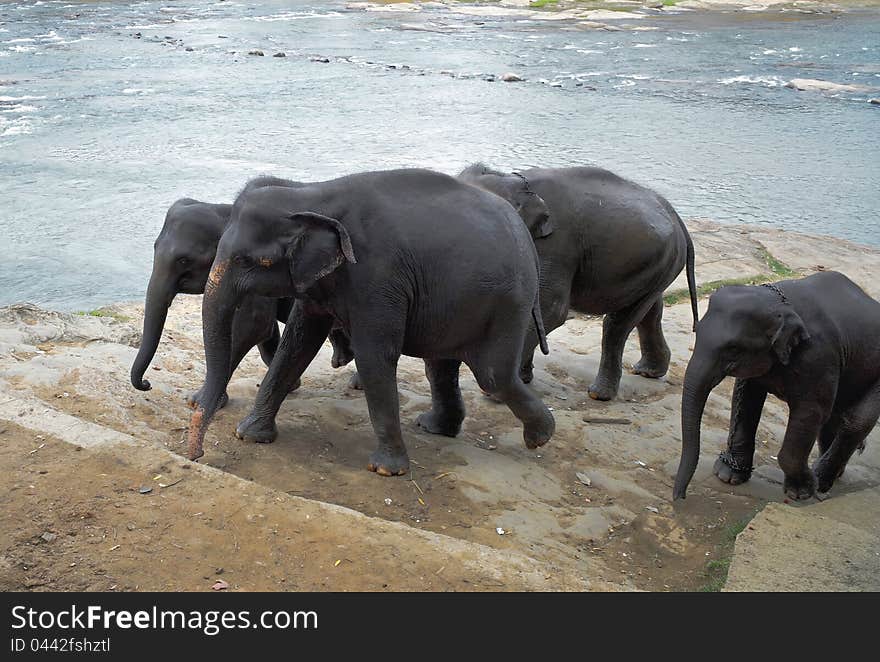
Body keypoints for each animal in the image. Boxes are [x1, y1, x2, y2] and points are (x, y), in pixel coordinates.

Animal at [127, 176, 300, 408]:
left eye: (184, 260)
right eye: (154, 247)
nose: (147, 384)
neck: (223, 211)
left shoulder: (251, 268)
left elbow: (253, 324)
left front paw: (201, 401)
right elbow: (267, 328)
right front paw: (290, 384)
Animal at [187, 166, 556, 478]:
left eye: (250, 261)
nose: (196, 456)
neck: (311, 193)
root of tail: (527, 238)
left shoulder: (377, 277)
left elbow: (373, 355)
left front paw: (385, 470)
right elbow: (297, 343)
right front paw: (249, 435)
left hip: (507, 302)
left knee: (492, 375)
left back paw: (540, 437)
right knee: (441, 367)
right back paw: (438, 428)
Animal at [454, 165, 700, 404]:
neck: (512, 179)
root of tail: (677, 218)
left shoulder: (556, 246)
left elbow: (551, 310)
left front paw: (497, 393)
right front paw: (521, 381)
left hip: (662, 261)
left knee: (619, 323)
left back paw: (599, 394)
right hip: (657, 264)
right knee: (651, 312)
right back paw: (648, 371)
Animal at [672, 272, 880, 500]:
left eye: (733, 348)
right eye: (697, 330)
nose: (680, 497)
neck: (779, 302)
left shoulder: (818, 357)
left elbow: (811, 412)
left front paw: (801, 492)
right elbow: (745, 398)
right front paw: (728, 476)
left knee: (855, 421)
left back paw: (821, 482)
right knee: (834, 420)